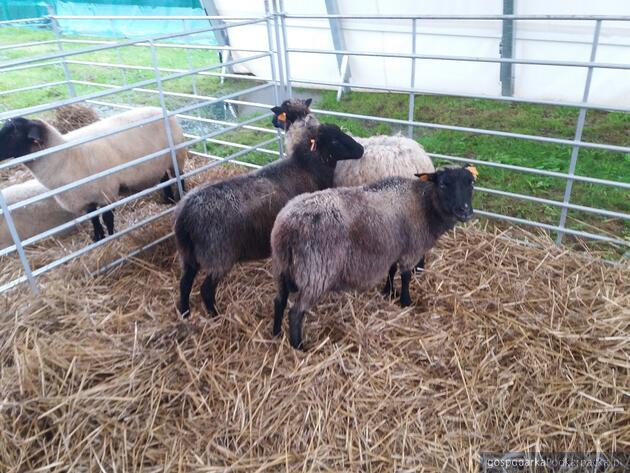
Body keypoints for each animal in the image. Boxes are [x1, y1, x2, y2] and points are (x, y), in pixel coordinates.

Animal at [0, 106, 188, 240]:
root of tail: (161, 109)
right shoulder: (86, 198)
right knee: (164, 178)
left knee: (180, 177)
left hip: (177, 156)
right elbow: (94, 219)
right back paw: (167, 199)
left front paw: (111, 237)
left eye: (13, 133)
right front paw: (98, 237)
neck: (65, 156)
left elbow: (107, 218)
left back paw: (180, 197)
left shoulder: (106, 193)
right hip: (158, 162)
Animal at [174, 123, 366, 318]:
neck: (306, 167)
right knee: (206, 289)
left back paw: (185, 313)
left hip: (188, 254)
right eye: (334, 140)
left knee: (184, 283)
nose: (361, 149)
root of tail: (185, 214)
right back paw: (215, 315)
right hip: (218, 256)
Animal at [270, 164, 478, 348]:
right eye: (443, 184)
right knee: (296, 312)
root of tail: (287, 226)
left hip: (282, 265)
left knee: (279, 300)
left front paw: (388, 291)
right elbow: (406, 276)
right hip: (317, 272)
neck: (424, 203)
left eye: (471, 184)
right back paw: (299, 346)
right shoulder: (411, 250)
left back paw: (276, 333)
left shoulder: (394, 246)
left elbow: (391, 270)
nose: (465, 211)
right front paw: (405, 301)